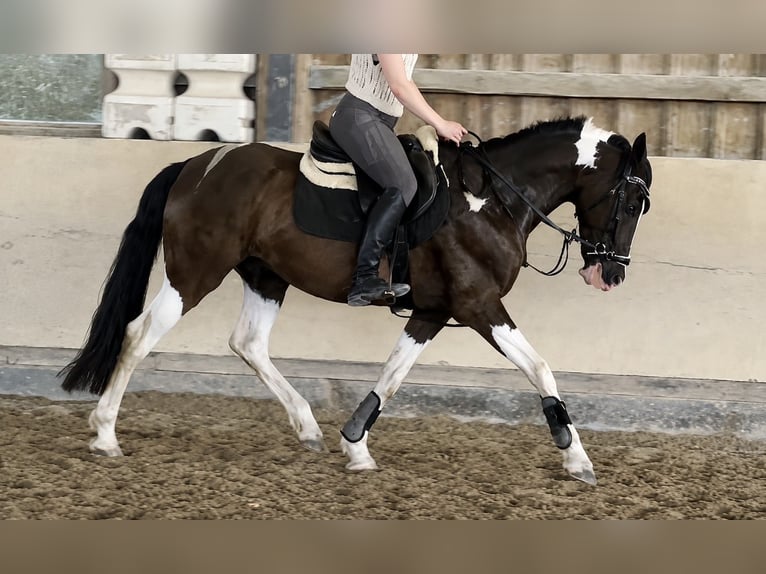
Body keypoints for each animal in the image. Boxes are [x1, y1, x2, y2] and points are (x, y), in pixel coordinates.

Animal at [59, 115, 652, 485]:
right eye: (632, 201)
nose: (611, 274)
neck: (490, 200)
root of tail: (194, 166)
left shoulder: (433, 312)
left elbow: (392, 375)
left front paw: (355, 445)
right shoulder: (478, 306)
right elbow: (541, 368)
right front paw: (576, 456)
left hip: (266, 276)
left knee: (248, 343)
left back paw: (307, 427)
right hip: (197, 271)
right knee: (139, 333)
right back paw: (105, 434)